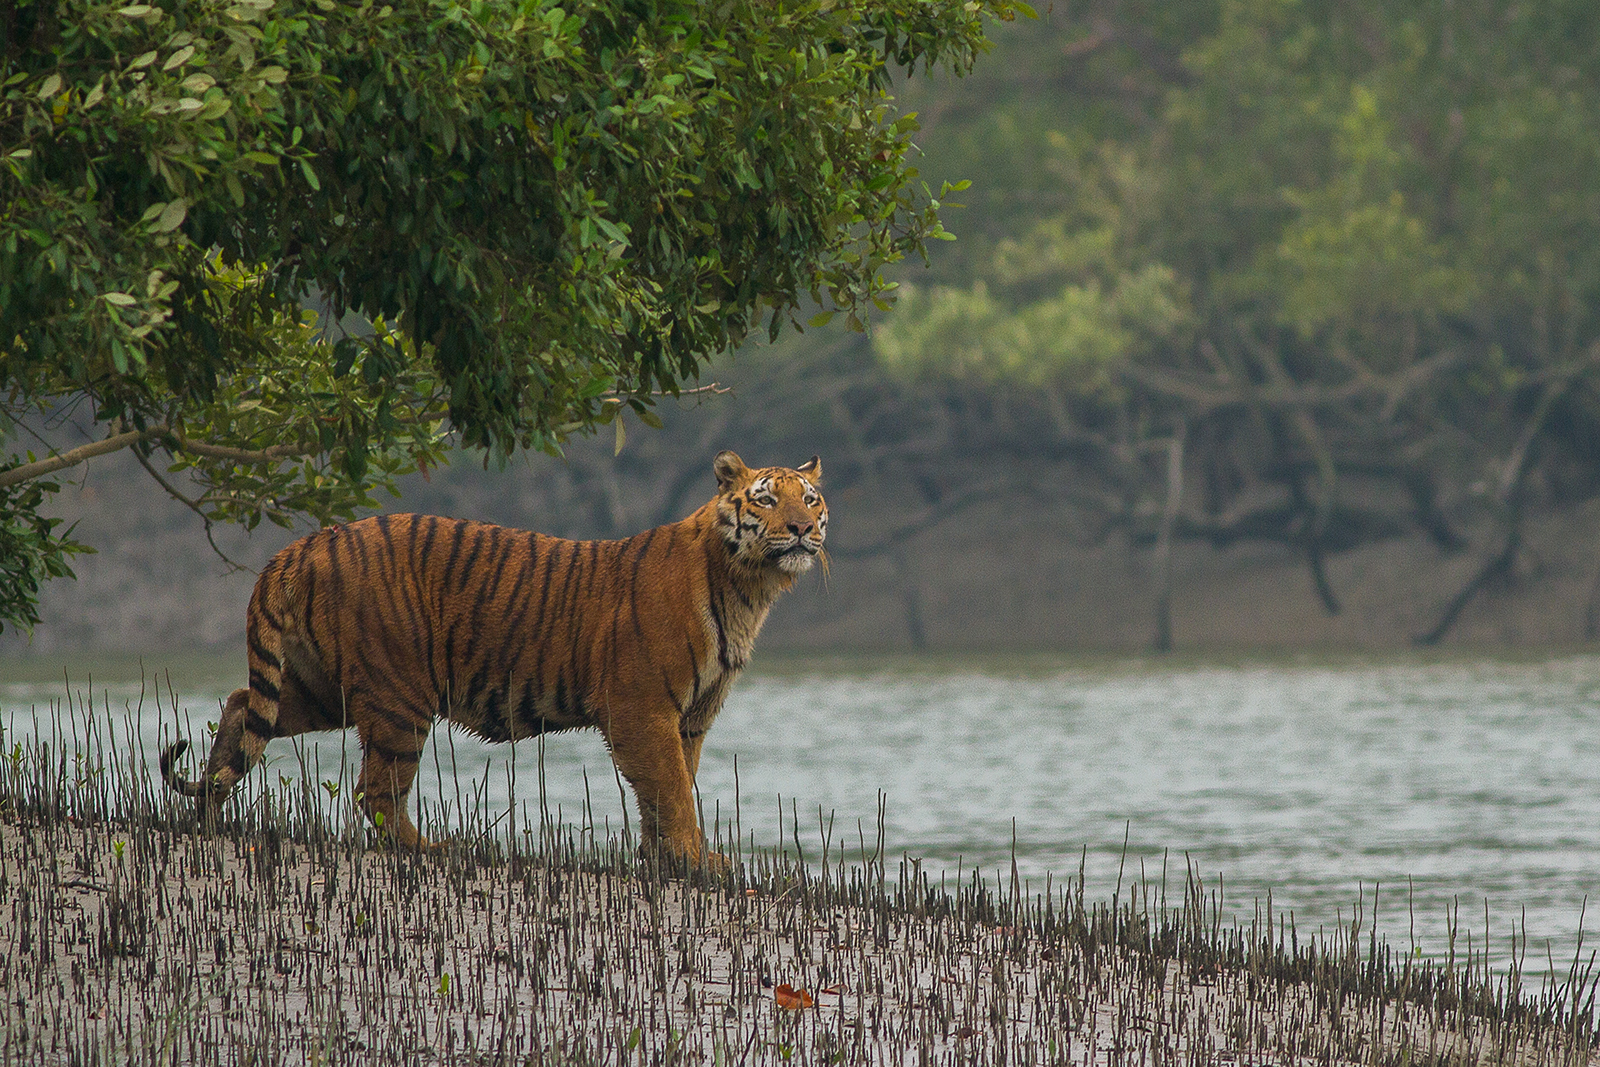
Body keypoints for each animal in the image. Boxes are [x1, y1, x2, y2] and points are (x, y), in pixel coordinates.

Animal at [160, 454, 825, 870]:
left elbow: (673, 787)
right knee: (376, 792)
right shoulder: (643, 708)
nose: (801, 528)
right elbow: (671, 788)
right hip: (399, 695)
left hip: (325, 688)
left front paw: (667, 859)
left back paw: (208, 810)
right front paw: (696, 860)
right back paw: (431, 850)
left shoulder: (690, 717)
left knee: (242, 706)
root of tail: (306, 542)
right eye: (767, 499)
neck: (748, 588)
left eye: (810, 499)